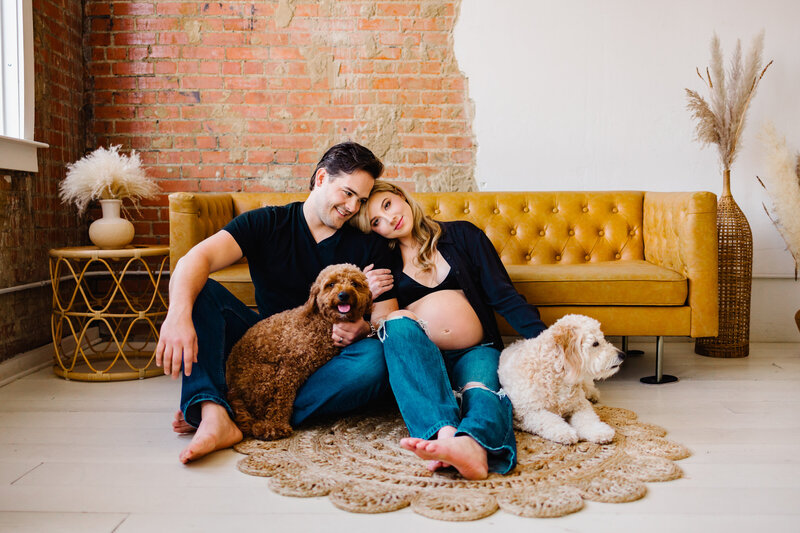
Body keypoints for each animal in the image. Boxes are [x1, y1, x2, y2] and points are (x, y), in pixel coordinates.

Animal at [227, 262, 374, 440]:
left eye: (355, 284)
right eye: (330, 284)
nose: (344, 294)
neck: (321, 322)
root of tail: (231, 387)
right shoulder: (288, 369)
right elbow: (281, 400)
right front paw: (275, 426)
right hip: (264, 375)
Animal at [500, 314, 624, 442]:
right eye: (595, 343)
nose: (622, 355)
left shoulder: (580, 404)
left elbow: (588, 419)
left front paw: (599, 431)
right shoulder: (526, 413)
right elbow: (549, 420)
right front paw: (564, 432)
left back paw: (593, 395)